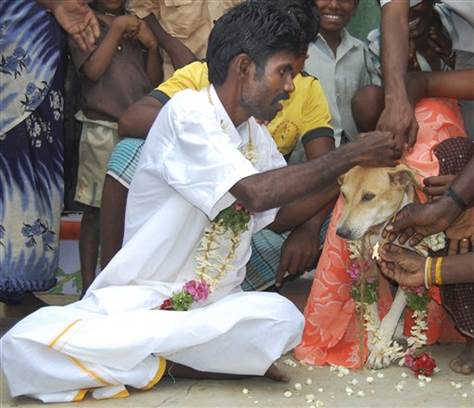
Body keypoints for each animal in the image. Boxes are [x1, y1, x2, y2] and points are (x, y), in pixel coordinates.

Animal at [336, 163, 442, 370]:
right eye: (344, 194)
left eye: (368, 196)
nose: (341, 232)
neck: (380, 230)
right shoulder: (366, 266)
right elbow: (371, 308)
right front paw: (373, 339)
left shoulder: (409, 270)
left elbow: (392, 314)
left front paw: (380, 349)